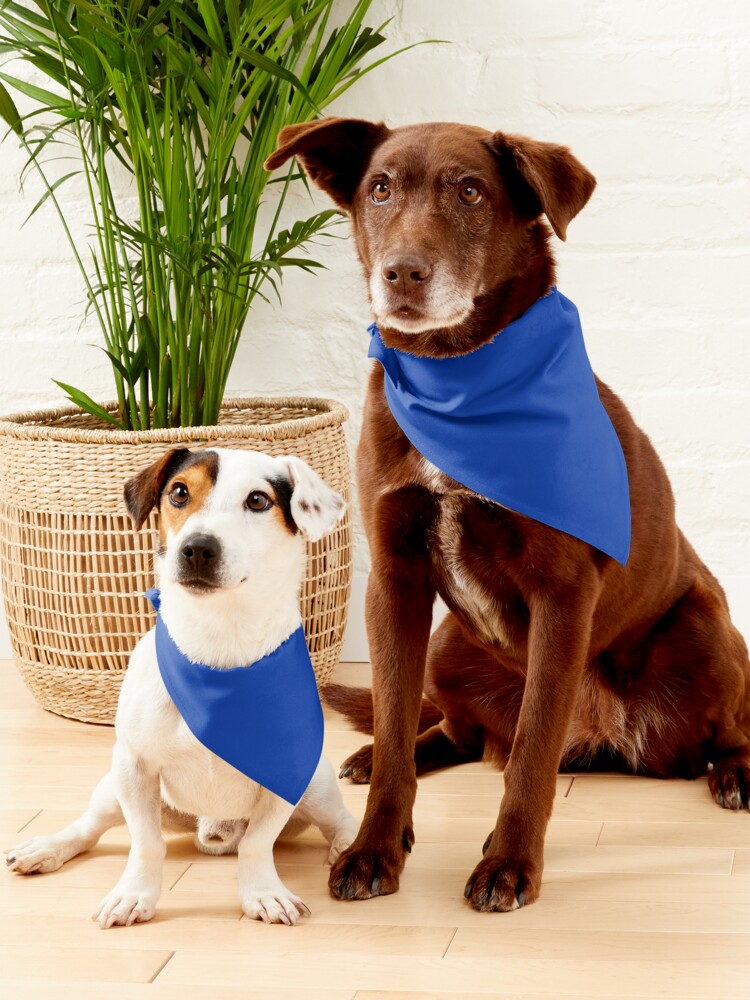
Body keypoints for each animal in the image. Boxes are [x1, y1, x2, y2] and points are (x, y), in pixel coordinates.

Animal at [5, 450, 358, 924]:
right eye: (179, 492)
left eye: (258, 500)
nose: (198, 547)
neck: (217, 645)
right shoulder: (134, 765)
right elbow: (146, 843)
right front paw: (134, 894)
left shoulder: (286, 769)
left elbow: (257, 843)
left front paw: (262, 893)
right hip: (113, 788)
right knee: (89, 828)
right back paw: (46, 848)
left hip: (316, 784)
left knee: (340, 820)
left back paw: (350, 849)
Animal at [268, 119, 748, 916]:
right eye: (379, 189)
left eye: (470, 192)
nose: (402, 273)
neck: (456, 376)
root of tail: (615, 742)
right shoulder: (393, 580)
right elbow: (397, 721)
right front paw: (374, 846)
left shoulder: (563, 596)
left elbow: (531, 753)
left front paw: (509, 864)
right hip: (448, 647)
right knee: (452, 729)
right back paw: (377, 754)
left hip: (703, 632)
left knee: (729, 726)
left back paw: (735, 774)